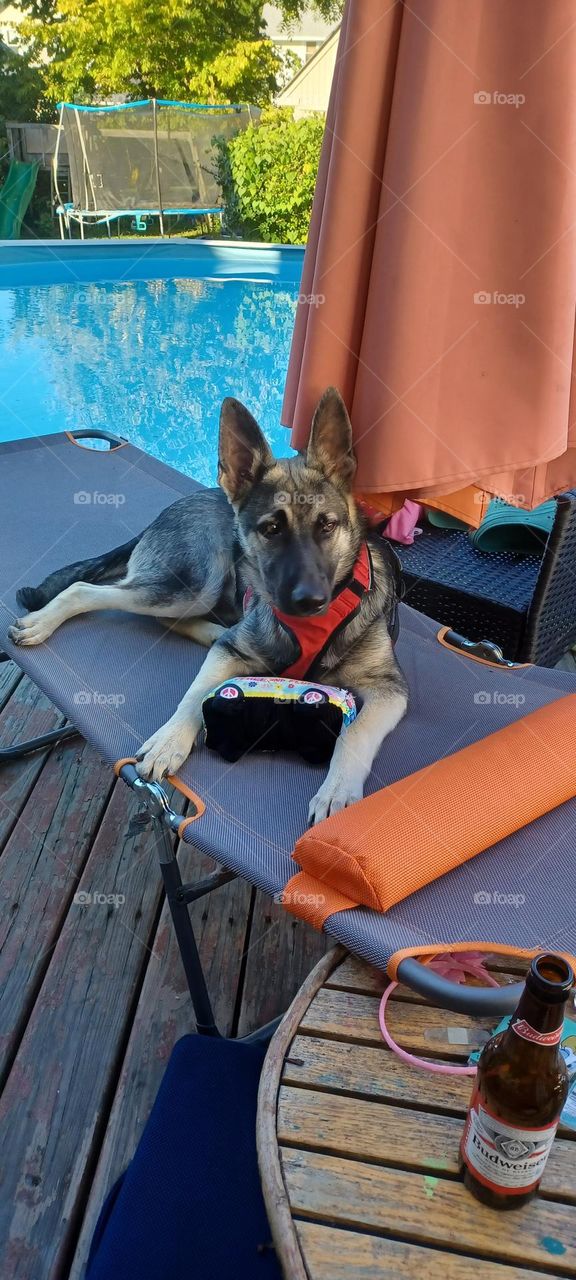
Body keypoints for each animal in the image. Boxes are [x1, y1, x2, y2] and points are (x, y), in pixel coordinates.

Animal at [9, 386, 407, 819]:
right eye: (271, 529)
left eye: (328, 526)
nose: (309, 601)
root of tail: (165, 513)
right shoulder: (230, 652)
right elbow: (195, 692)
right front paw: (169, 740)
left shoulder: (390, 690)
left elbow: (357, 732)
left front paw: (337, 792)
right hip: (198, 578)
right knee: (88, 589)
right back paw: (43, 622)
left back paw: (212, 630)